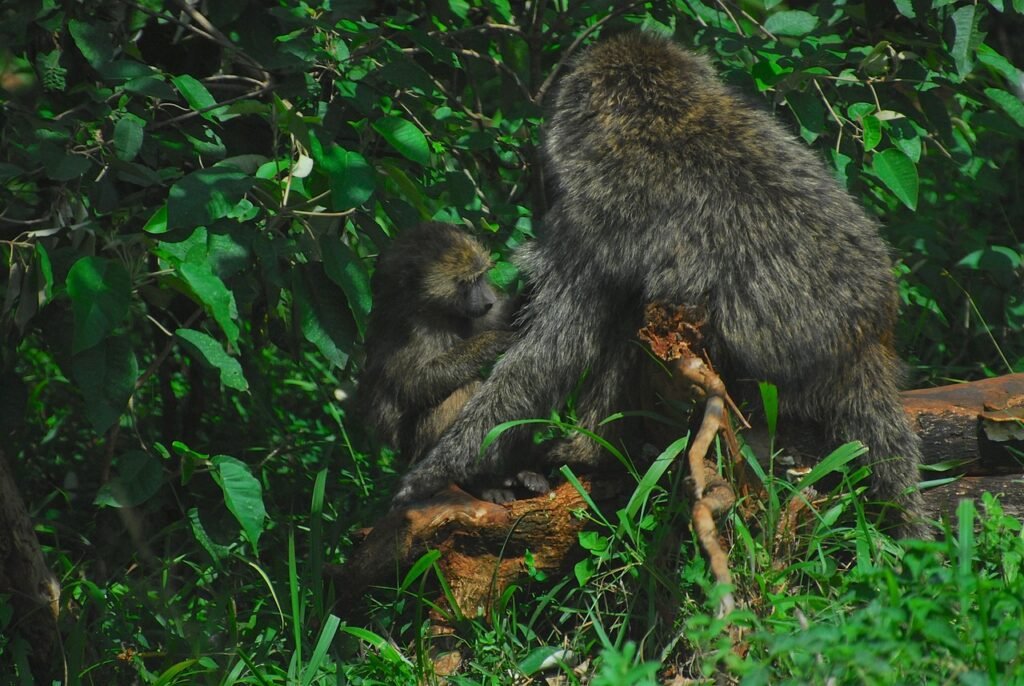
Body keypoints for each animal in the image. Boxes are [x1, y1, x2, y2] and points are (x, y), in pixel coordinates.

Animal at [358, 221, 549, 502]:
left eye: (481, 277)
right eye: (466, 282)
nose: (489, 301)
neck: (430, 308)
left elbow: (509, 318)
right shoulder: (408, 331)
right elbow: (415, 386)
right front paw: (493, 340)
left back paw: (523, 473)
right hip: (418, 448)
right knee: (462, 389)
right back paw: (480, 483)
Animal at [391, 32, 929, 538]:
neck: (669, 119)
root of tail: (862, 348)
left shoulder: (591, 212)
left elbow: (553, 350)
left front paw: (433, 472)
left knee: (627, 317)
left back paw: (586, 450)